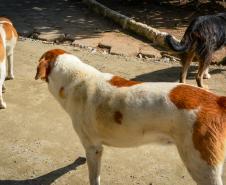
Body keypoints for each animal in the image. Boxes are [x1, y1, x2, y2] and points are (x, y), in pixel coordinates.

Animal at [34, 48, 226, 185]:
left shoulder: (92, 147)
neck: (77, 79)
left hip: (201, 168)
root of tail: (217, 100)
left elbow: (93, 177)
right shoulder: (95, 148)